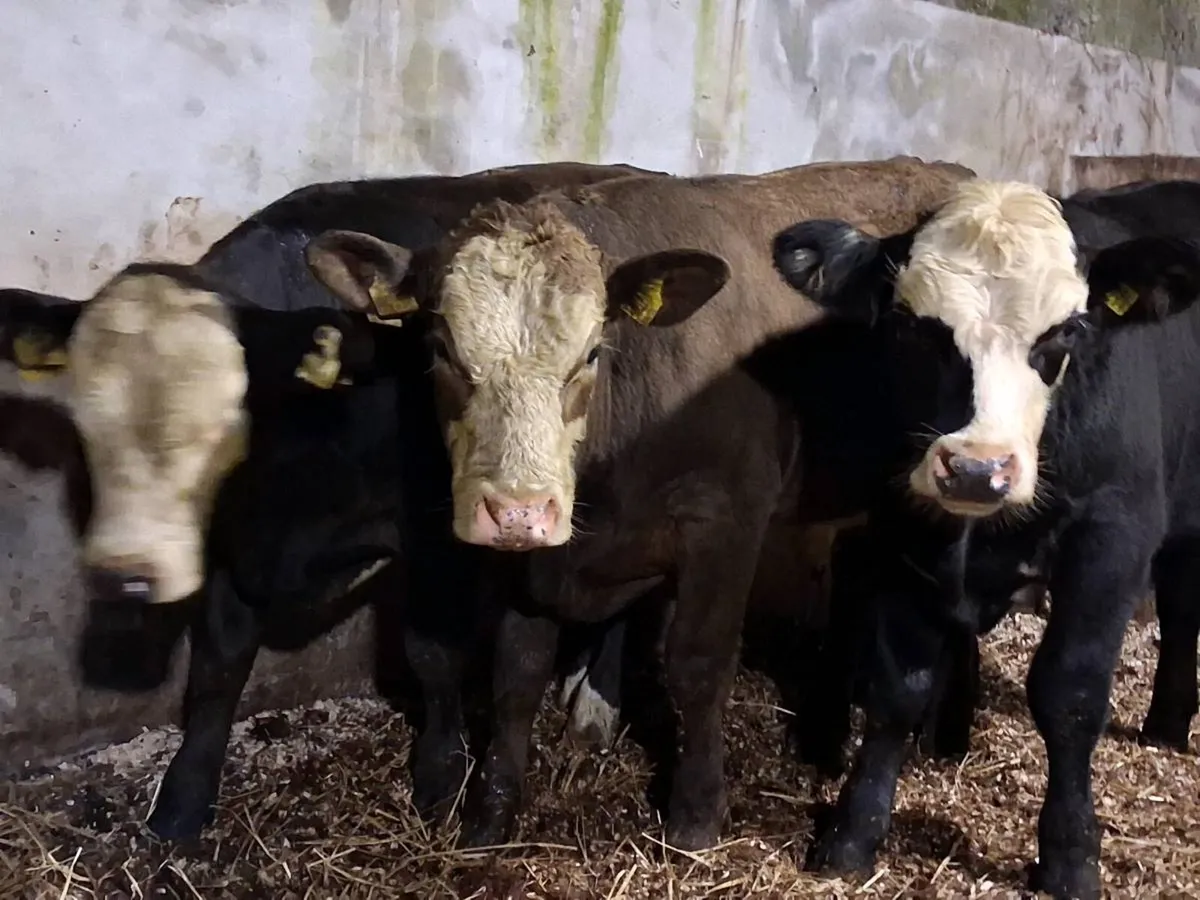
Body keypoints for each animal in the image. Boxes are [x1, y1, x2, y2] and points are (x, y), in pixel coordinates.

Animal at [0, 161, 664, 841]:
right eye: (86, 417)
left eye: (223, 421)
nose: (129, 575)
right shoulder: (233, 541)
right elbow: (217, 667)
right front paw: (183, 801)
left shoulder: (436, 540)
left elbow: (432, 655)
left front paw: (440, 775)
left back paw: (594, 705)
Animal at [301, 155, 976, 851]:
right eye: (441, 348)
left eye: (593, 352)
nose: (517, 510)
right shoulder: (534, 557)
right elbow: (517, 672)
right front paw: (492, 813)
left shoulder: (725, 520)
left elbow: (698, 667)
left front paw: (696, 815)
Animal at [772, 177, 1200, 899]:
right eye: (912, 325)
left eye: (1067, 331)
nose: (977, 467)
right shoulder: (904, 528)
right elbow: (898, 688)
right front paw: (852, 835)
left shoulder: (1112, 538)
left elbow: (1070, 694)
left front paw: (1070, 859)